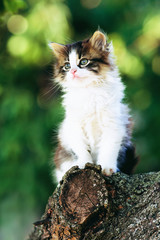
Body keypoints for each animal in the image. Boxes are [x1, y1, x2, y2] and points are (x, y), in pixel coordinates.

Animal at [49, 30, 138, 182]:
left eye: (83, 62)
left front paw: (107, 168)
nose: (73, 71)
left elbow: (108, 149)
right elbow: (82, 150)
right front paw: (84, 164)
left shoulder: (113, 124)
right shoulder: (74, 126)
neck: (89, 90)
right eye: (67, 66)